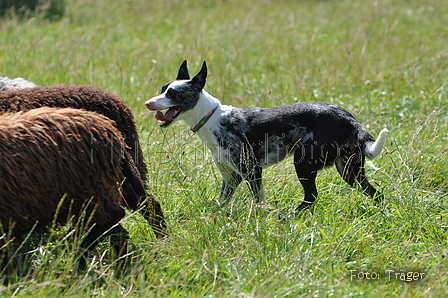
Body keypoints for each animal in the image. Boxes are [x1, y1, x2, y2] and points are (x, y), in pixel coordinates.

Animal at [0, 107, 144, 272]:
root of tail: (111, 131)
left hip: (88, 190)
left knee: (113, 218)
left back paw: (80, 261)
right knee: (118, 231)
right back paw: (120, 266)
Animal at [145, 60, 386, 210]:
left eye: (173, 93)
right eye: (162, 89)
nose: (148, 103)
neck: (212, 119)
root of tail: (349, 118)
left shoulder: (252, 171)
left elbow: (259, 203)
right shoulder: (230, 179)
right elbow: (221, 205)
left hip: (303, 163)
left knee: (311, 198)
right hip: (349, 171)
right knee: (377, 194)